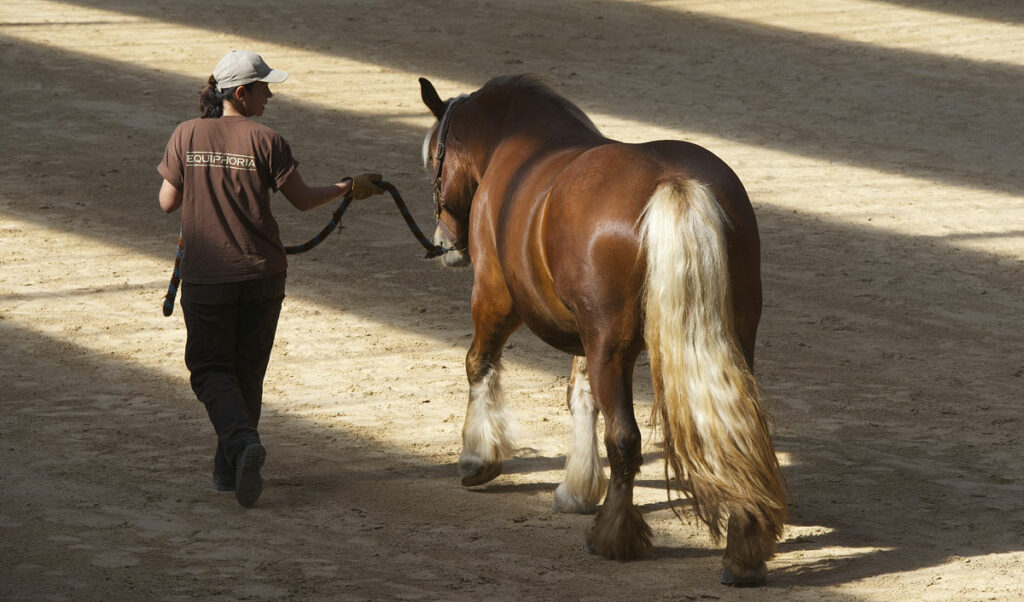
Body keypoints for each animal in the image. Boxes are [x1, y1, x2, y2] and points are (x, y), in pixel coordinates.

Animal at [419, 72, 786, 585]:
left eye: (432, 160)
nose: (443, 244)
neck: (520, 146)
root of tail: (674, 182)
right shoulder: (586, 333)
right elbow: (581, 397)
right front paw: (576, 487)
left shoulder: (494, 296)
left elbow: (480, 364)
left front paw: (477, 458)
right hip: (731, 335)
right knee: (734, 429)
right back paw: (744, 551)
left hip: (608, 345)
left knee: (625, 440)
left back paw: (612, 535)